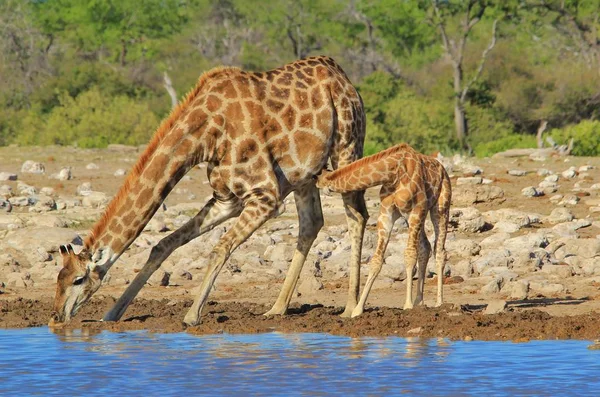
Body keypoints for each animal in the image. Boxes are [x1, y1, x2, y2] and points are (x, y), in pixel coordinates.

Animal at [49, 56, 368, 328]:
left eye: (78, 280)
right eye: (58, 277)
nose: (55, 317)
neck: (205, 135)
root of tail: (341, 74)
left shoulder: (266, 196)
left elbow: (219, 248)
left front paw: (191, 316)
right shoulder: (227, 199)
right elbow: (162, 245)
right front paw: (112, 313)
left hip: (347, 146)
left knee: (357, 215)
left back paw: (351, 309)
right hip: (304, 174)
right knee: (312, 222)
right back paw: (277, 309)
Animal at [318, 142, 450, 316]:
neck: (393, 172)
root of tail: (443, 169)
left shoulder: (417, 209)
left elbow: (409, 255)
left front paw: (407, 305)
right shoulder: (387, 213)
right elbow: (376, 260)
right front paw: (357, 310)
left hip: (439, 207)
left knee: (439, 250)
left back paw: (439, 303)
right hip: (412, 217)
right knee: (425, 246)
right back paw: (419, 302)